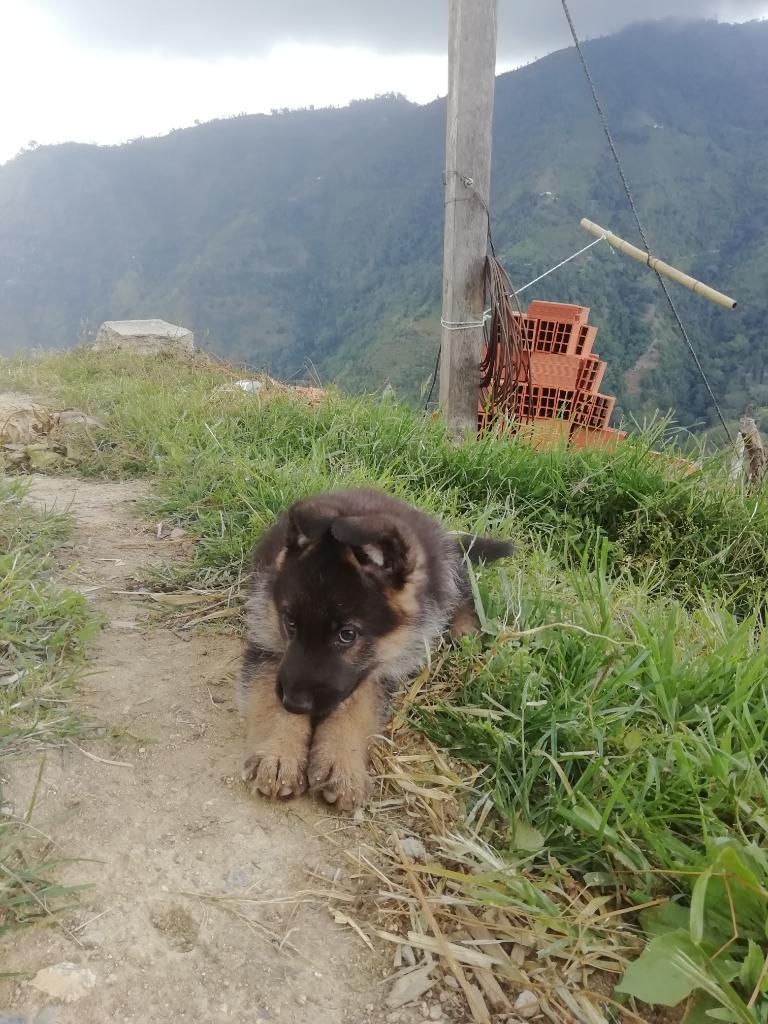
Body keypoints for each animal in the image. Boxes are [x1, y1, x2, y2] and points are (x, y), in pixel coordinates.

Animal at [240, 487, 512, 806]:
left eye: (347, 635)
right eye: (290, 623)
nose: (295, 703)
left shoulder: (378, 669)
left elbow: (357, 706)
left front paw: (342, 764)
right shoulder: (269, 642)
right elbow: (270, 697)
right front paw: (278, 755)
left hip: (443, 570)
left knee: (461, 582)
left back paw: (465, 627)